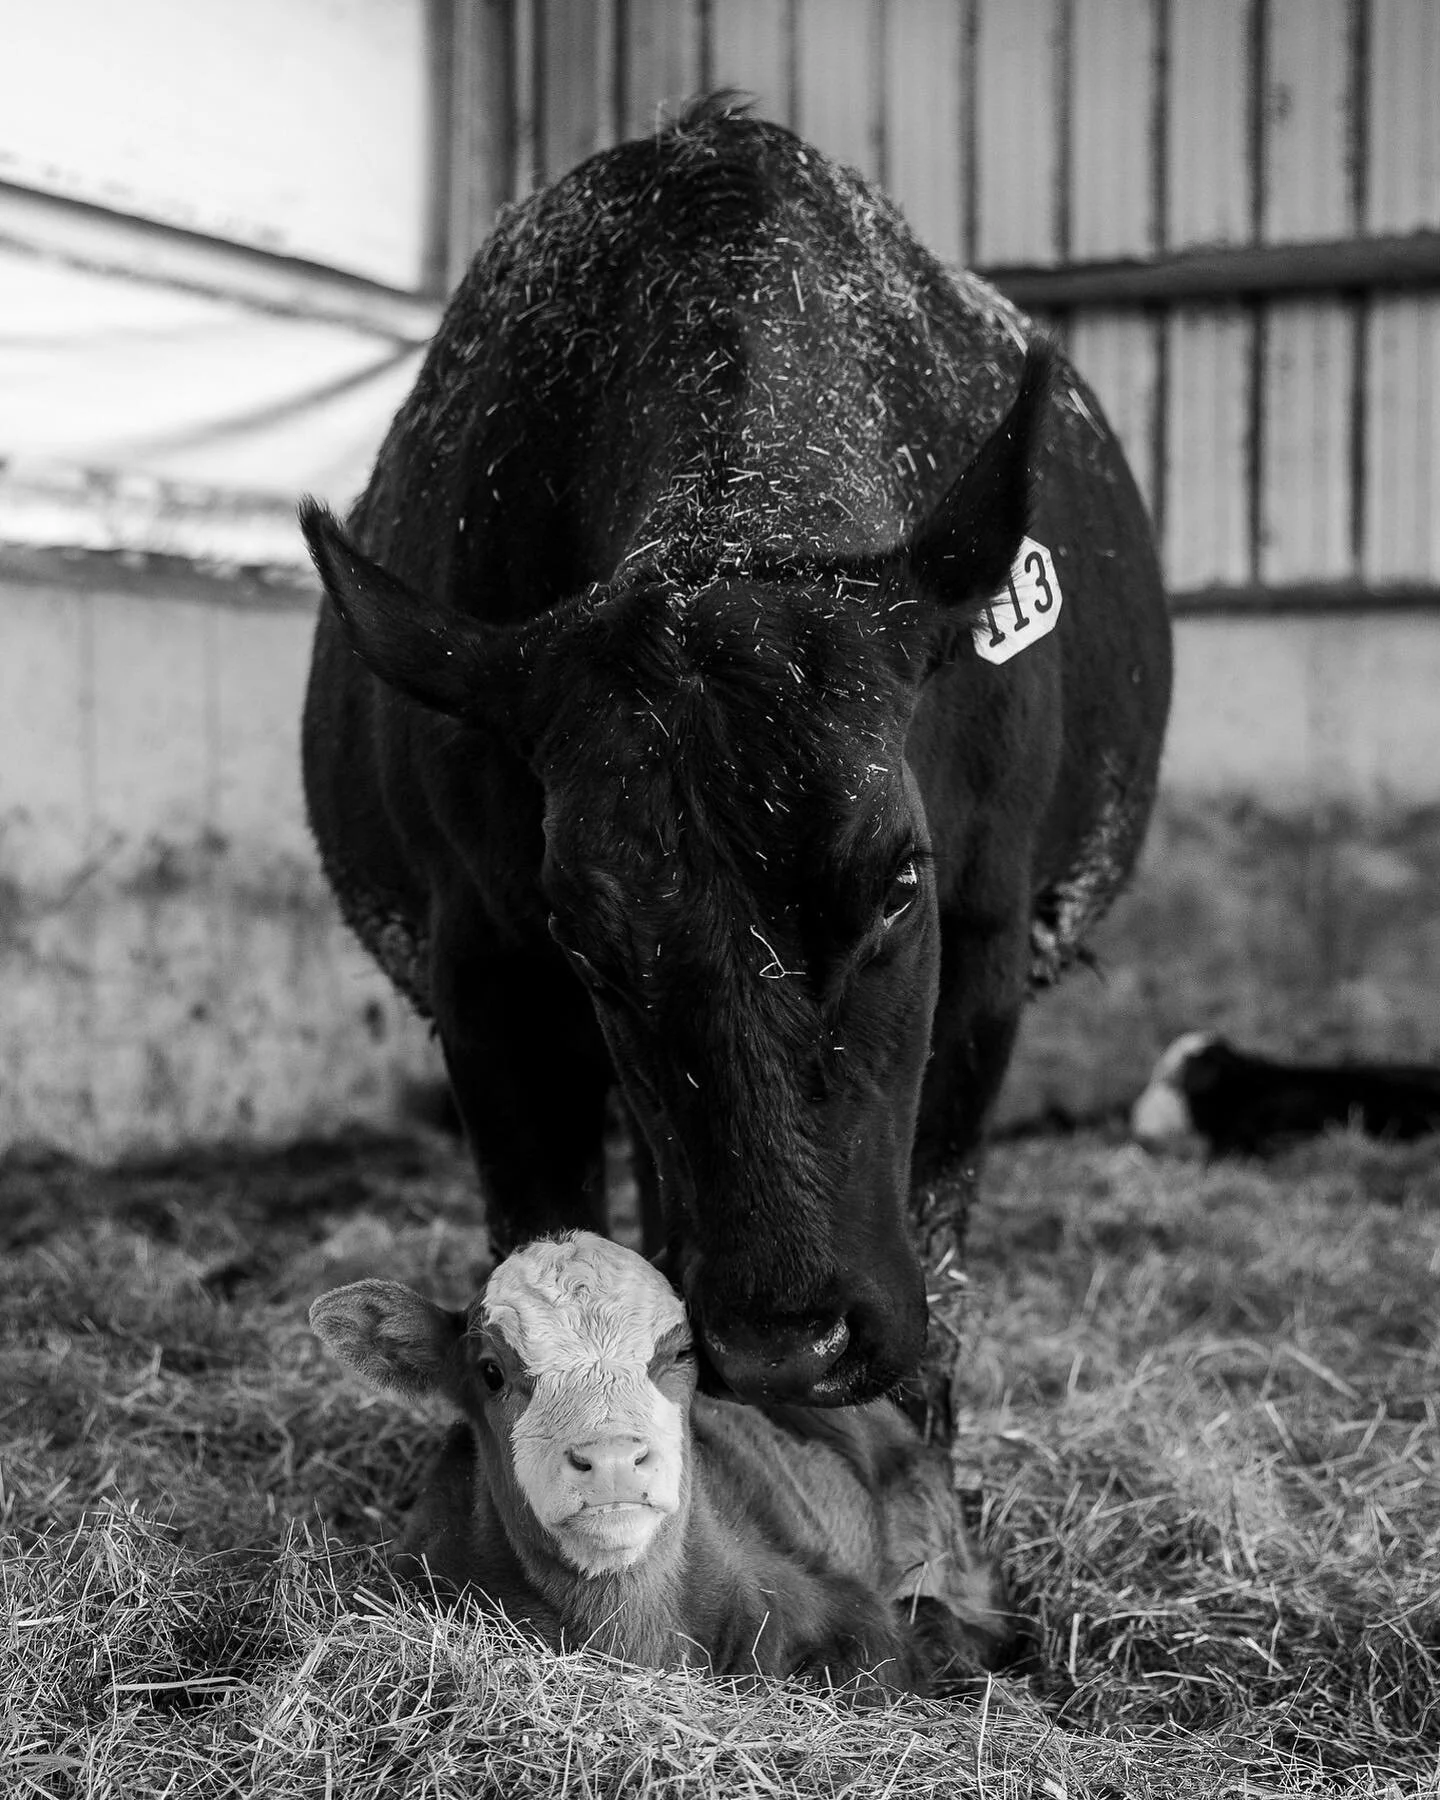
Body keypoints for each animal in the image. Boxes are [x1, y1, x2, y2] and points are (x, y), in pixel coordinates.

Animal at [300, 97, 1171, 1417]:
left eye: (898, 883)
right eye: (578, 935)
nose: (784, 1347)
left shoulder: (989, 921)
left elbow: (939, 1218)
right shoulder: (483, 961)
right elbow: (540, 1233)